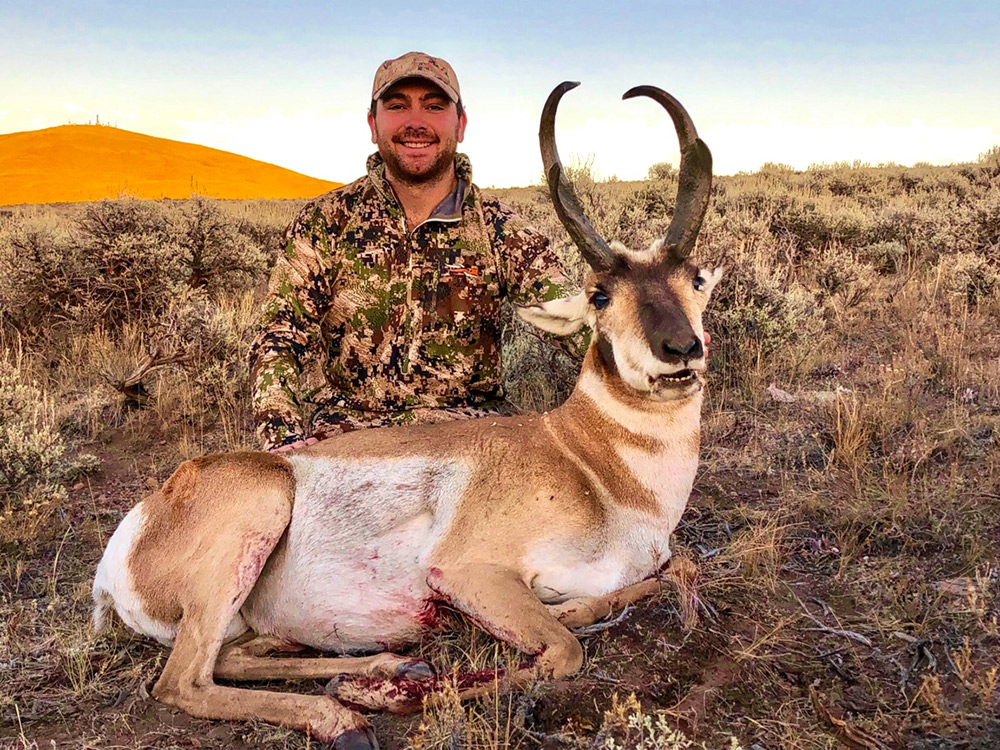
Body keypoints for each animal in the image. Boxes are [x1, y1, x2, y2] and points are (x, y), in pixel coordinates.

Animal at [92, 81, 721, 750]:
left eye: (695, 279)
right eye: (601, 294)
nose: (681, 350)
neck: (584, 459)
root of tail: (146, 517)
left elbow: (672, 574)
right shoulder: (467, 574)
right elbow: (563, 651)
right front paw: (385, 697)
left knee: (233, 657)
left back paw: (386, 663)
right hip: (256, 511)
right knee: (183, 681)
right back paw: (346, 712)